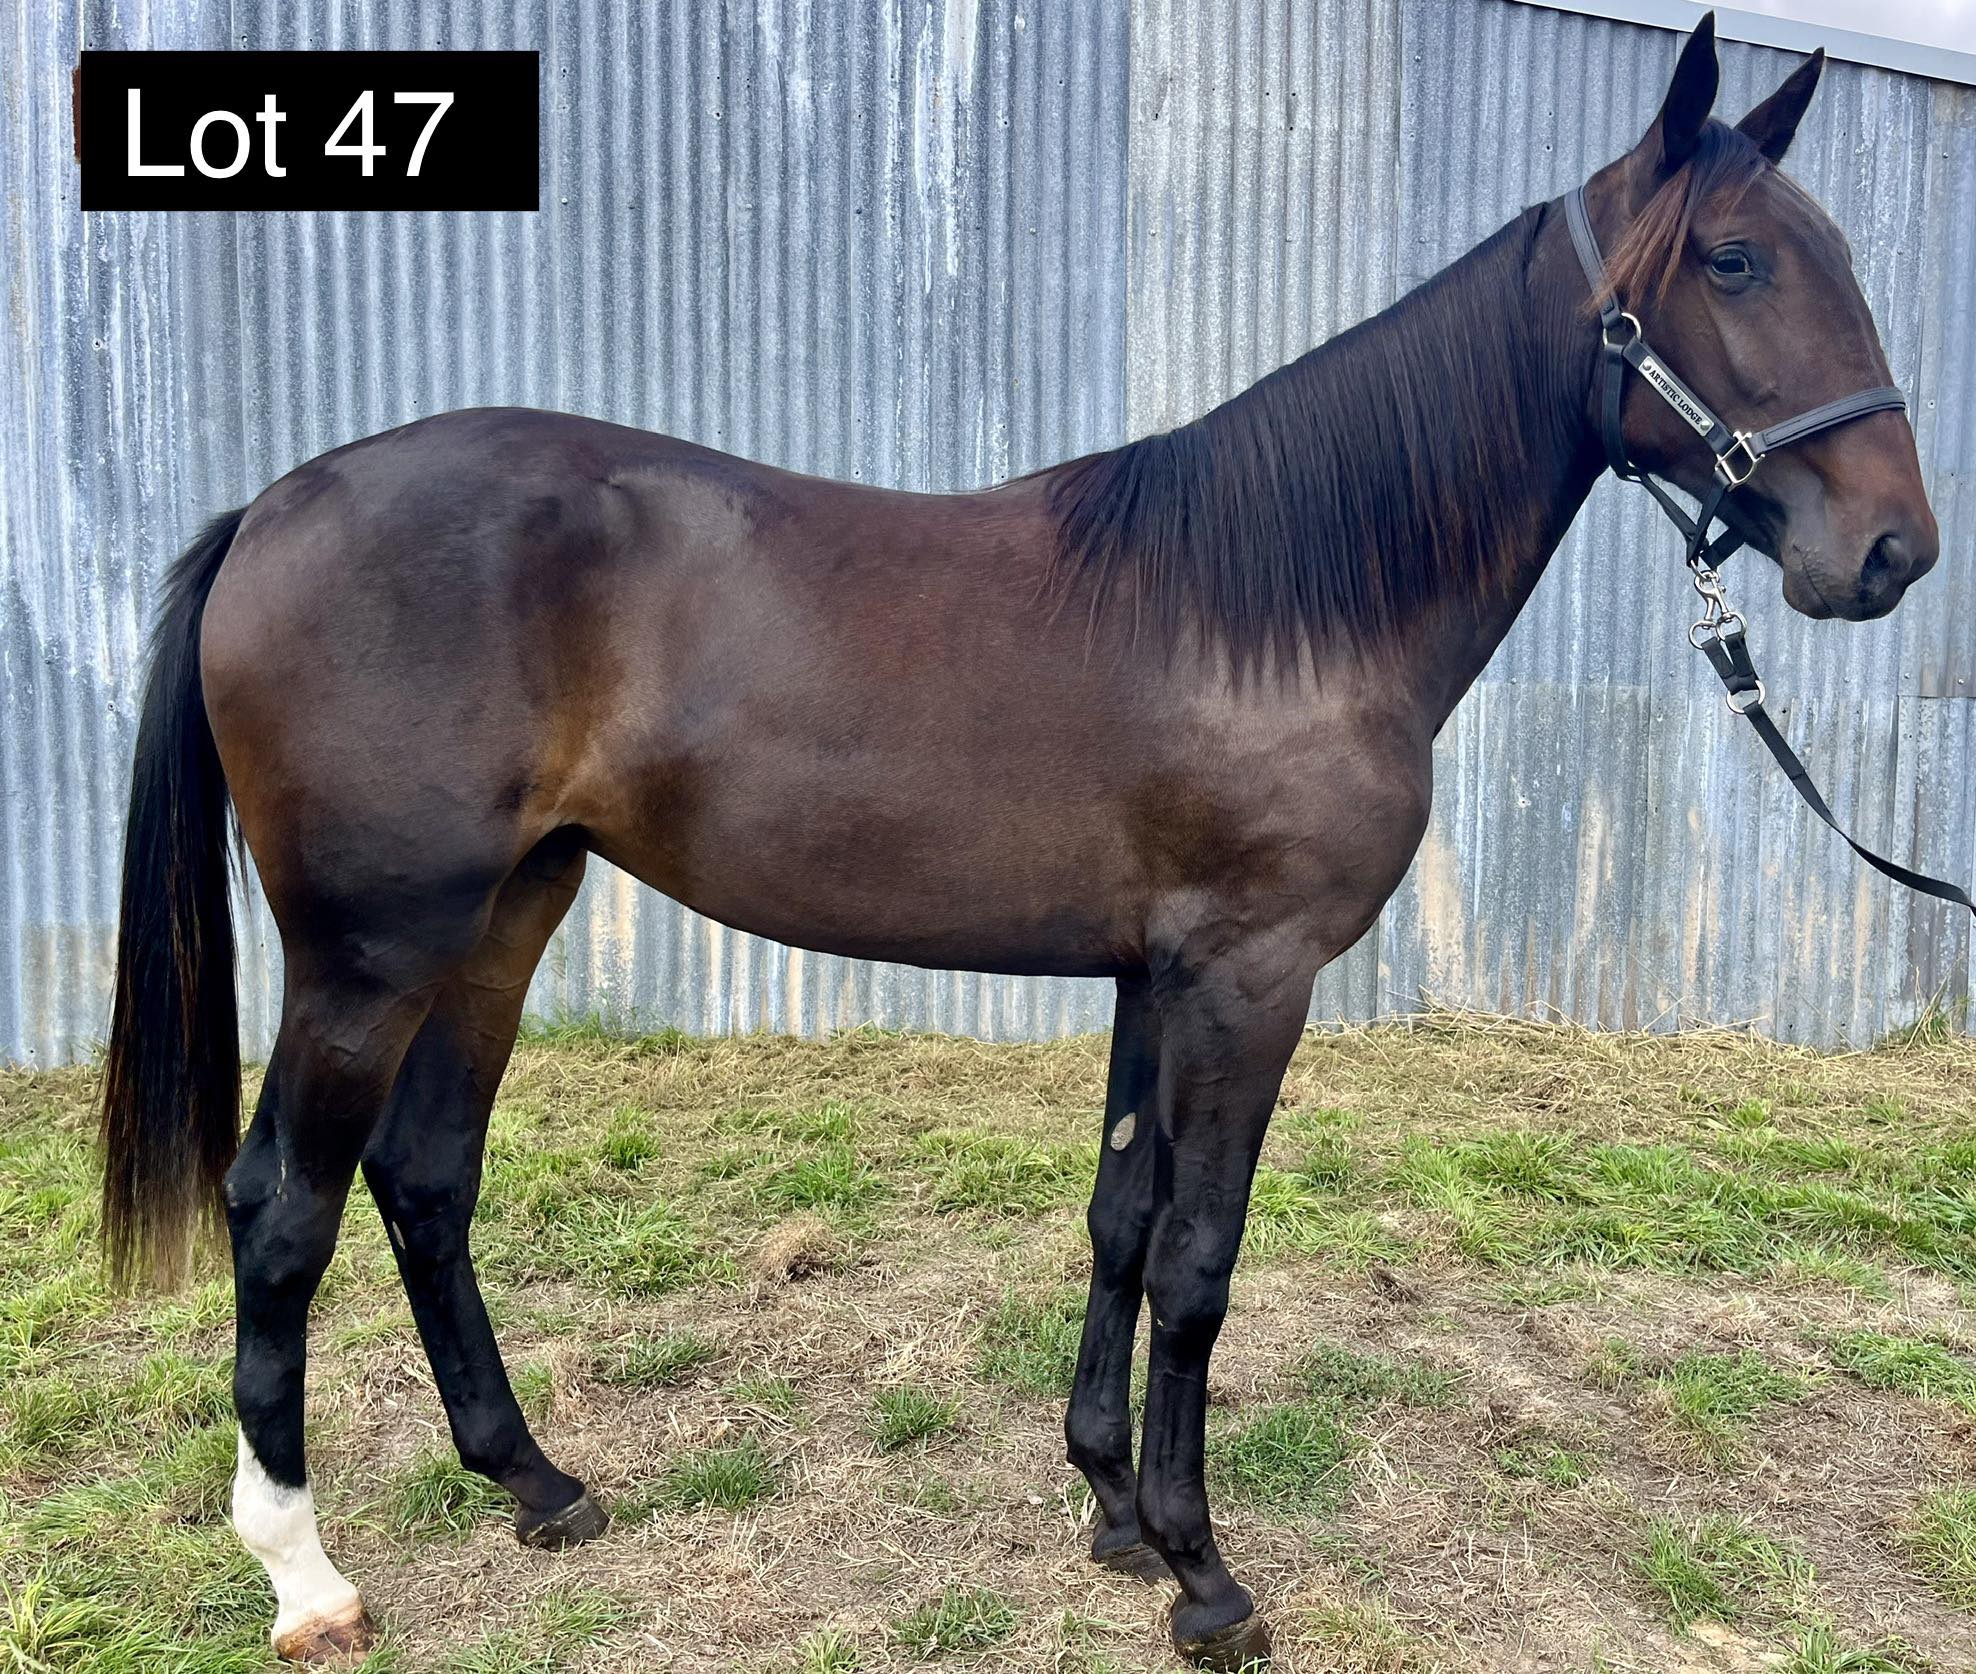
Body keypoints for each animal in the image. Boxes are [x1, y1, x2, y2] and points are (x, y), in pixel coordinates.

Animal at [98, 16, 1939, 1668]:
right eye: (1734, 259)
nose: (1894, 550)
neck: (1277, 609)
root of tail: (274, 505)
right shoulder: (1250, 978)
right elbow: (1198, 1258)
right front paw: (1205, 1575)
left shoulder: (1157, 971)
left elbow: (1121, 1220)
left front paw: (1113, 1509)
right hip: (370, 951)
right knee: (282, 1208)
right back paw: (305, 1575)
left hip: (505, 914)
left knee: (424, 1176)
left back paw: (537, 1480)